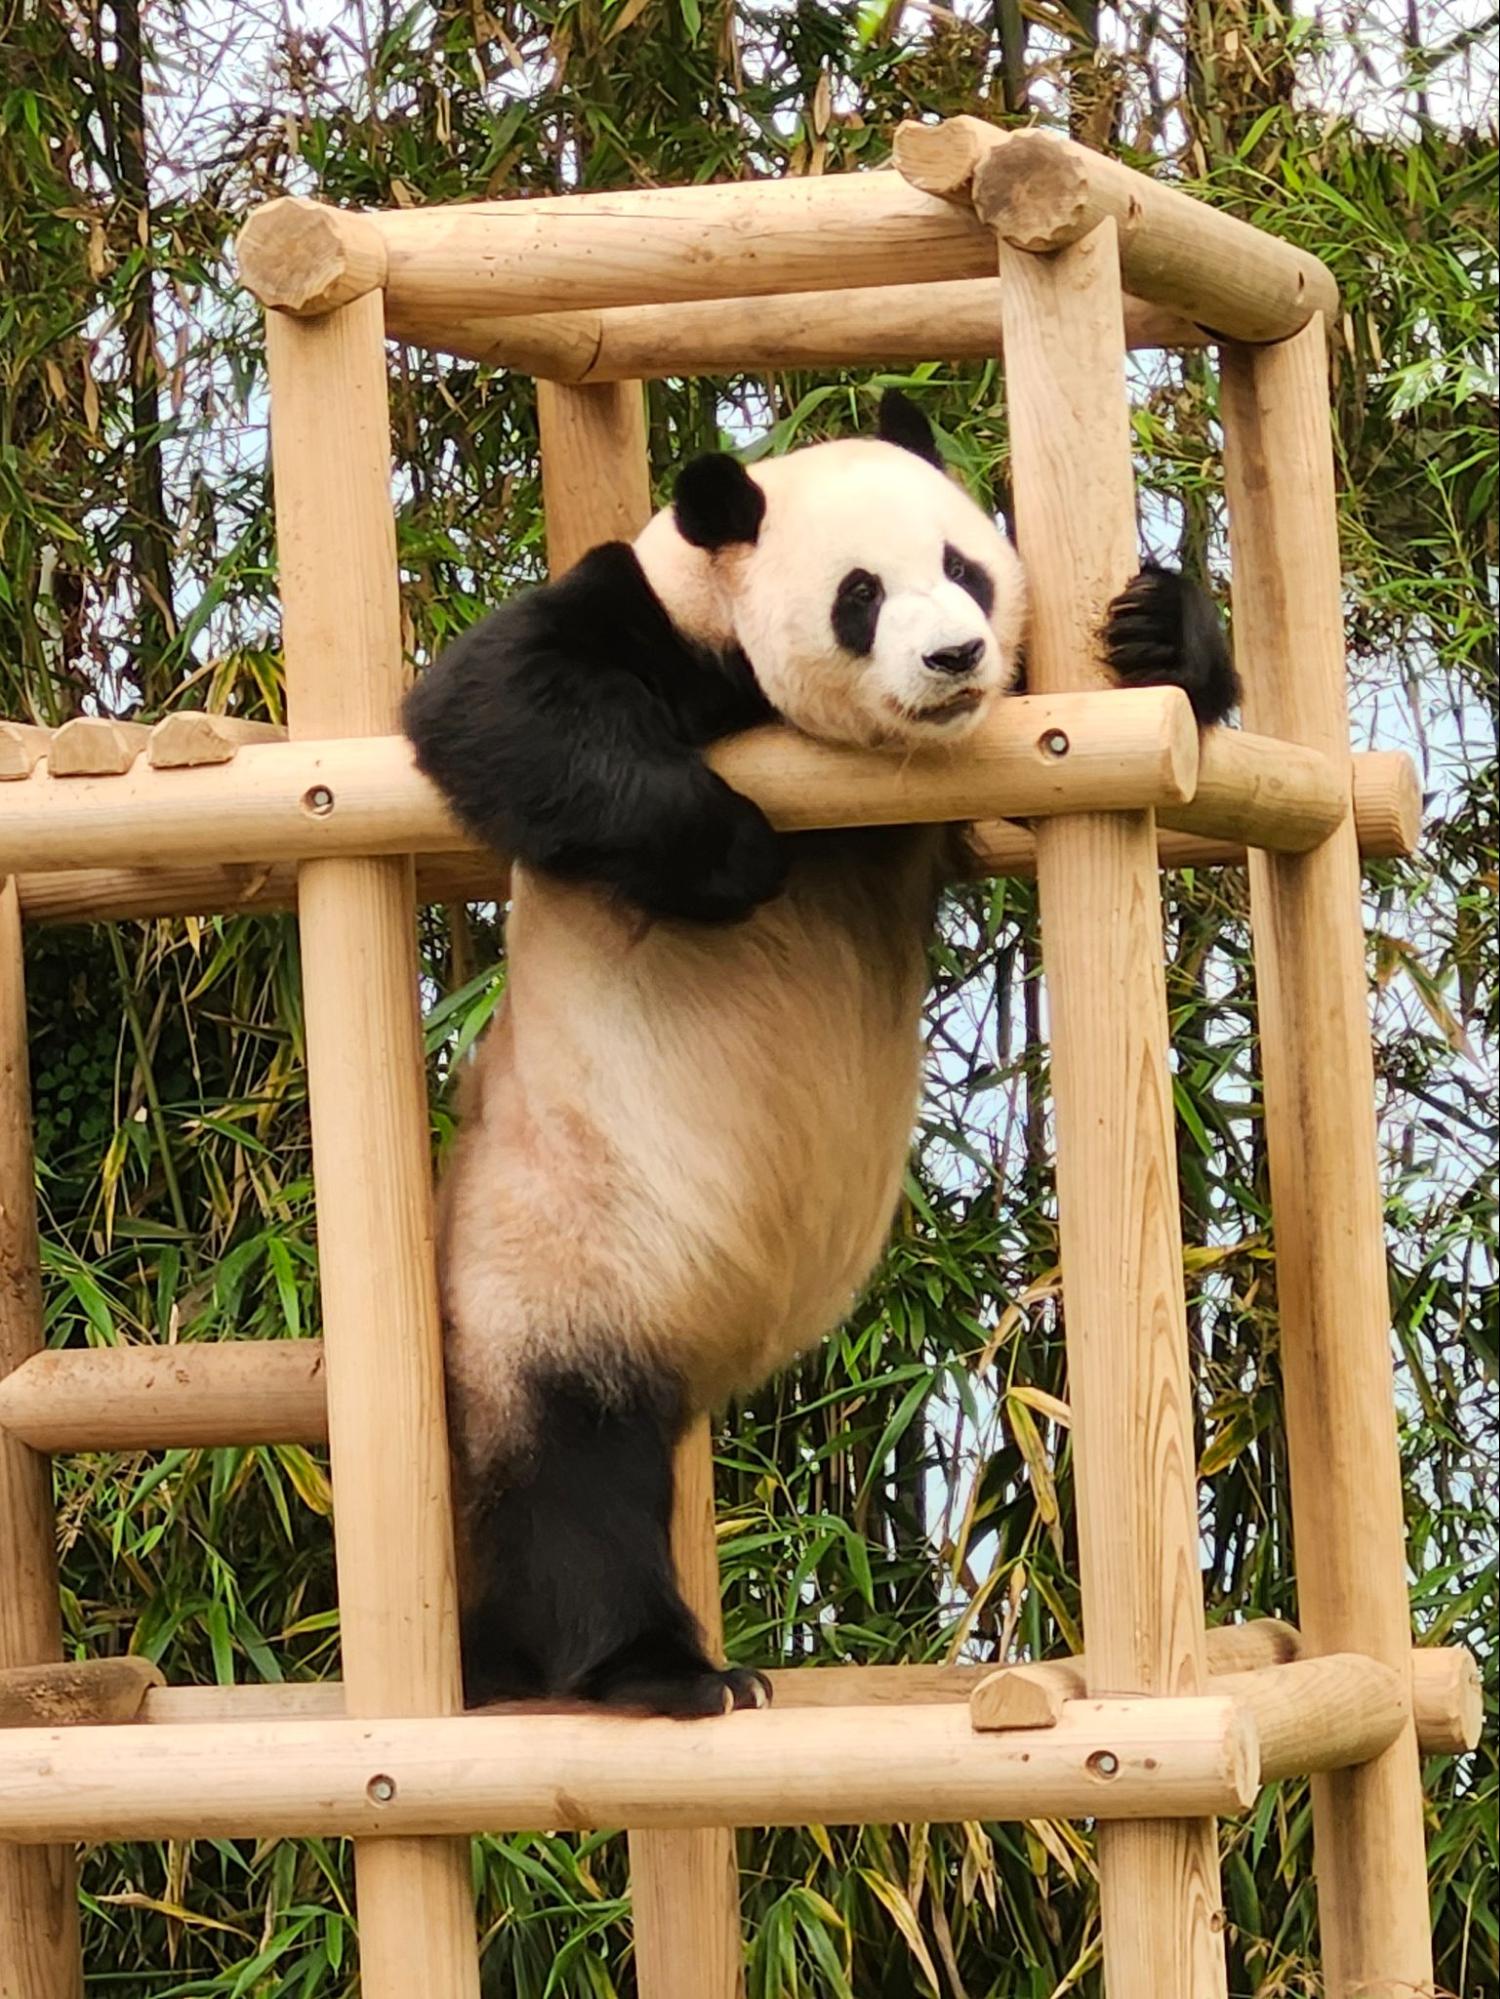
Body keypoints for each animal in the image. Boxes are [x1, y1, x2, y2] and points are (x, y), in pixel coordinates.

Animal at [403, 391, 1236, 1718]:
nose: (953, 659)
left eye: (965, 568)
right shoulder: (649, 625)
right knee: (571, 1473)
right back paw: (665, 1672)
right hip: (543, 1274)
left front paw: (1161, 630)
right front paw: (736, 853)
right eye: (861, 595)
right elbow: (496, 709)